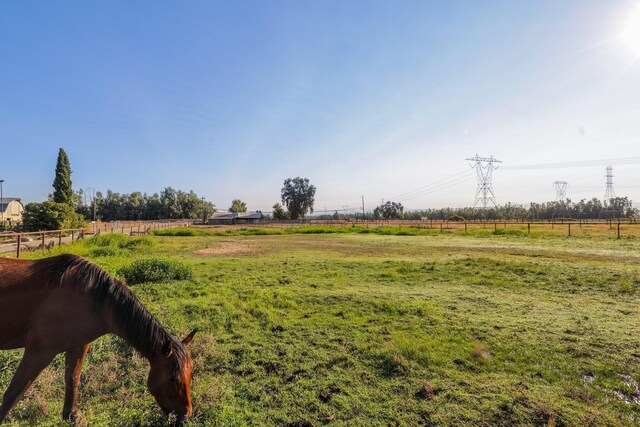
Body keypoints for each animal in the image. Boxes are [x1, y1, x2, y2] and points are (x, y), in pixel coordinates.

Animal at [0, 254, 198, 424]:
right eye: (173, 379)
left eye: (190, 374)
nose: (186, 415)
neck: (90, 298)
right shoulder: (39, 351)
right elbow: (14, 393)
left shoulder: (79, 345)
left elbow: (72, 378)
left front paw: (72, 415)